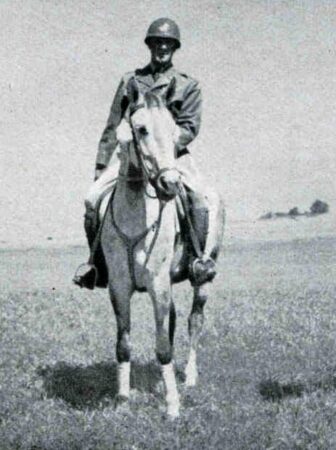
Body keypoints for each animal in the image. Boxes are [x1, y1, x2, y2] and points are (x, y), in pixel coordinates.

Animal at [100, 78, 226, 418]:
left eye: (174, 131)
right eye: (141, 129)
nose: (169, 184)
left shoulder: (158, 284)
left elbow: (164, 347)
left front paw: (172, 405)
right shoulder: (119, 287)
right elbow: (123, 345)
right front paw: (122, 399)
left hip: (202, 279)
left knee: (194, 322)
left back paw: (190, 377)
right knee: (171, 322)